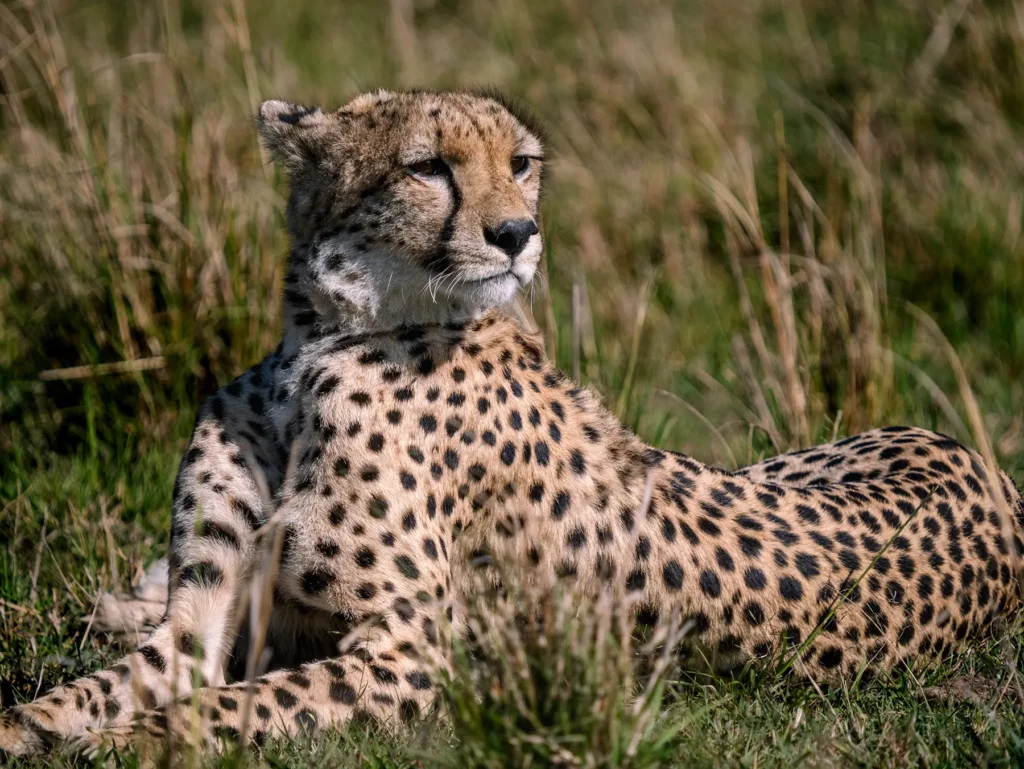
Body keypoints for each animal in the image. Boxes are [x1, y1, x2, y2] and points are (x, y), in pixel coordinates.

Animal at [2, 88, 1023, 757]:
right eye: (427, 166)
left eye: (520, 164)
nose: (515, 235)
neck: (322, 342)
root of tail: (985, 469)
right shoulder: (202, 615)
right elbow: (87, 691)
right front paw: (39, 726)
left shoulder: (410, 657)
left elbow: (220, 709)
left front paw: (123, 742)